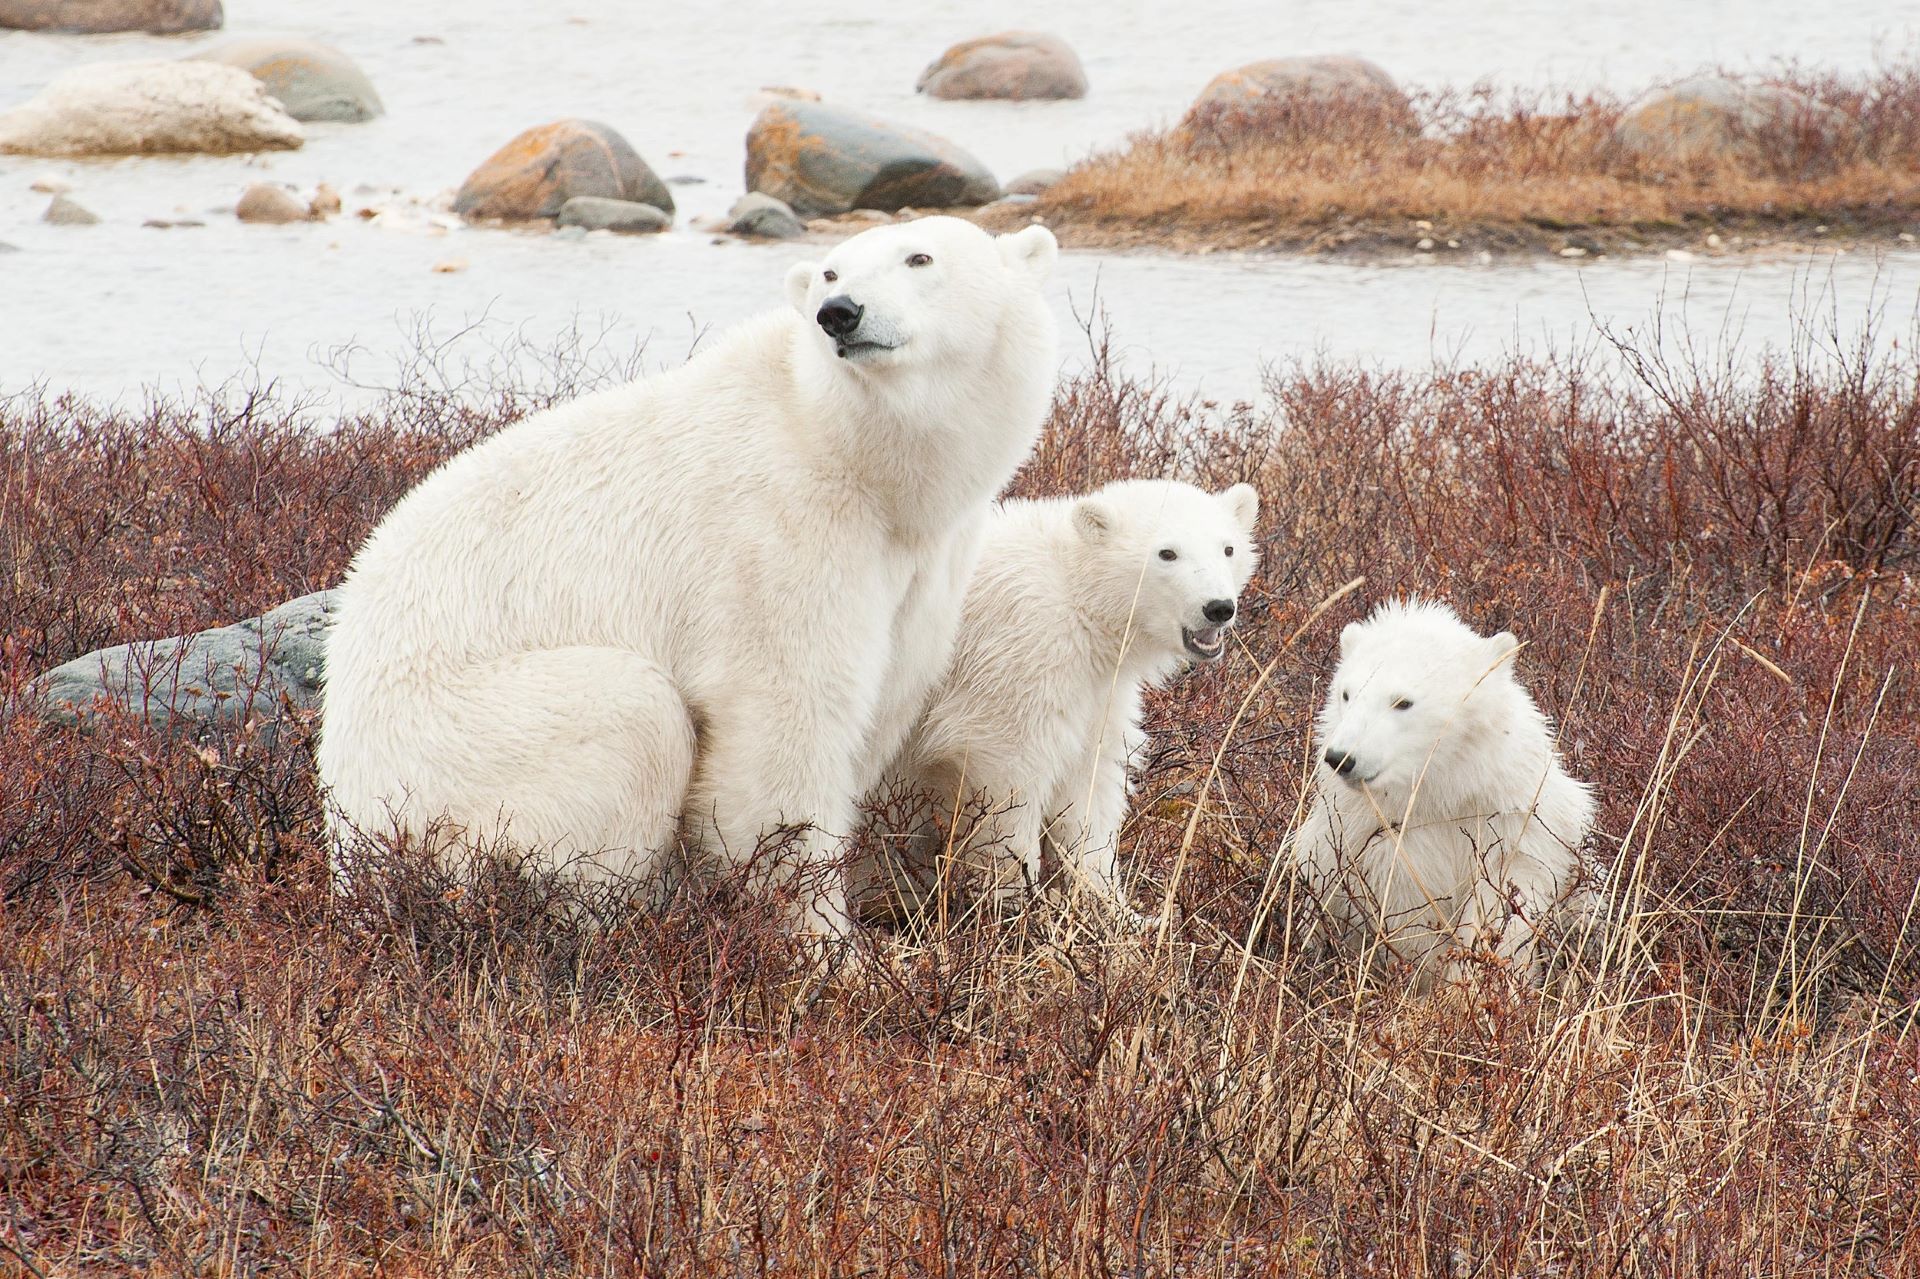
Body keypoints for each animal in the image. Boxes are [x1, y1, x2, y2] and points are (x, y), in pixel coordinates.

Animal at [317, 216, 1061, 936]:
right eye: (831, 270)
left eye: (919, 257)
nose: (839, 313)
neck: (858, 460)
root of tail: (349, 849)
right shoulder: (774, 533)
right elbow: (782, 724)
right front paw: (823, 945)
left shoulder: (923, 568)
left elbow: (884, 694)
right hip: (456, 751)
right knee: (632, 716)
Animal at [879, 479, 1260, 923]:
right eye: (1167, 552)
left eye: (1228, 548)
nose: (1218, 608)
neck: (1076, 594)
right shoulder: (1019, 658)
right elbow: (1008, 779)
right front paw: (1018, 907)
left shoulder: (1098, 691)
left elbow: (1090, 784)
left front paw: (1122, 912)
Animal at [1289, 598, 1600, 986]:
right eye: (1346, 693)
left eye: (1402, 701)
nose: (1341, 757)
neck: (1442, 793)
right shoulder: (1366, 841)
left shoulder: (1515, 830)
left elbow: (1501, 909)